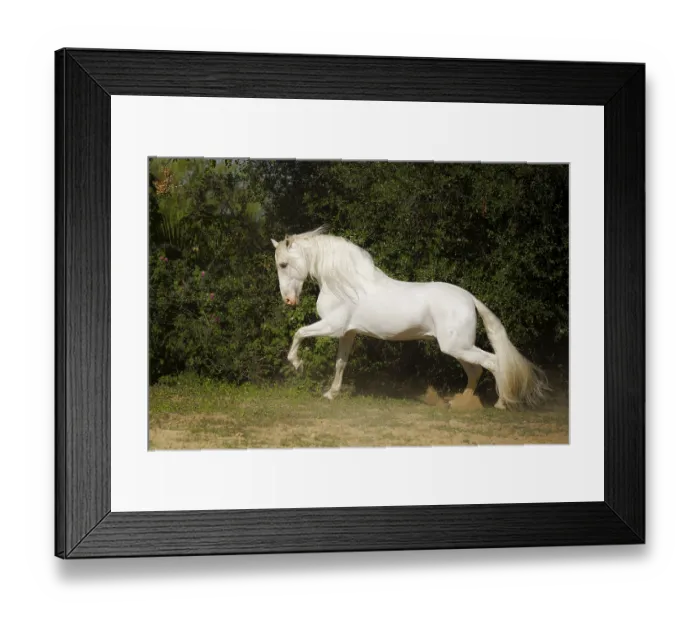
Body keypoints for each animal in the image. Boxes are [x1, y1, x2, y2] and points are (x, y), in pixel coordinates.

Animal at [271, 226, 549, 409]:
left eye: (283, 265)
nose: (288, 301)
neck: (346, 284)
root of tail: (469, 298)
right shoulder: (348, 333)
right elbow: (341, 363)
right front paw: (331, 394)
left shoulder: (332, 326)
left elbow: (299, 333)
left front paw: (297, 364)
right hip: (459, 348)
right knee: (476, 369)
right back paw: (460, 402)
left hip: (457, 346)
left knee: (493, 362)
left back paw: (500, 403)